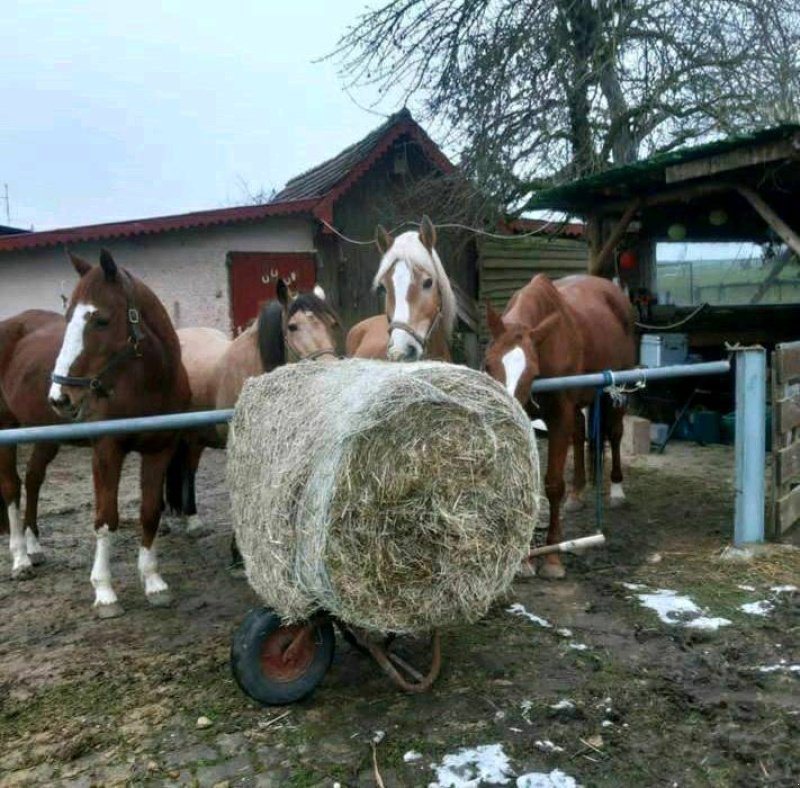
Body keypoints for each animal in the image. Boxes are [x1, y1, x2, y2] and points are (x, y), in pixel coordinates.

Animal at [46, 249, 189, 620]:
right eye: (67, 317)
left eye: (101, 321)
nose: (59, 398)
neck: (146, 386)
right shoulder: (106, 451)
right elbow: (106, 518)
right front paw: (105, 592)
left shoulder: (160, 450)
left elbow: (149, 512)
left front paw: (153, 582)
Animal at [164, 284, 340, 548]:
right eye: (293, 326)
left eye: (331, 323)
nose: (331, 369)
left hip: (195, 436)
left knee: (189, 470)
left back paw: (193, 521)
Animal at [482, 276, 636, 580]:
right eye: (488, 365)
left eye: (532, 374)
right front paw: (524, 560)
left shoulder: (559, 416)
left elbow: (553, 485)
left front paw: (552, 558)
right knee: (579, 434)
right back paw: (577, 494)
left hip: (617, 390)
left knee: (615, 433)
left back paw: (617, 490)